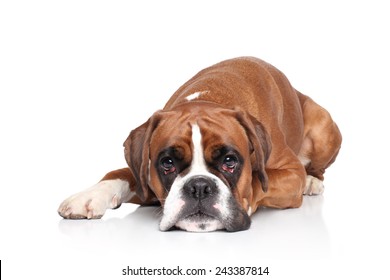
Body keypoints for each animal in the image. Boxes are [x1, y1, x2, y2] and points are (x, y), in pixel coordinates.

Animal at [58, 56, 342, 232]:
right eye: (167, 163)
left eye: (230, 162)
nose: (199, 187)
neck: (209, 98)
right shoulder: (145, 178)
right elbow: (122, 173)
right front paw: (89, 196)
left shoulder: (290, 172)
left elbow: (257, 181)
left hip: (324, 126)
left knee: (317, 168)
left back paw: (312, 181)